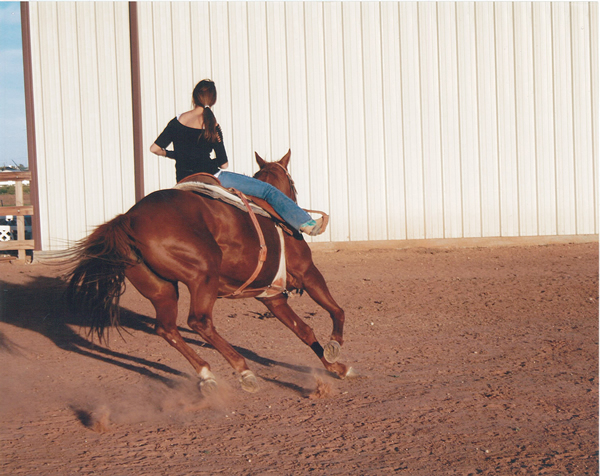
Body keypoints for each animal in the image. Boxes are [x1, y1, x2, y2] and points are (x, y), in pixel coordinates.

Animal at [65, 150, 353, 395]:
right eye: (293, 184)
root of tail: (129, 219)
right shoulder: (308, 272)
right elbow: (337, 310)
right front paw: (335, 348)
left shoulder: (271, 296)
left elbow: (304, 330)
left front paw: (336, 368)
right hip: (203, 275)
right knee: (199, 321)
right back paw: (244, 371)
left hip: (161, 289)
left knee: (167, 329)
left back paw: (206, 375)